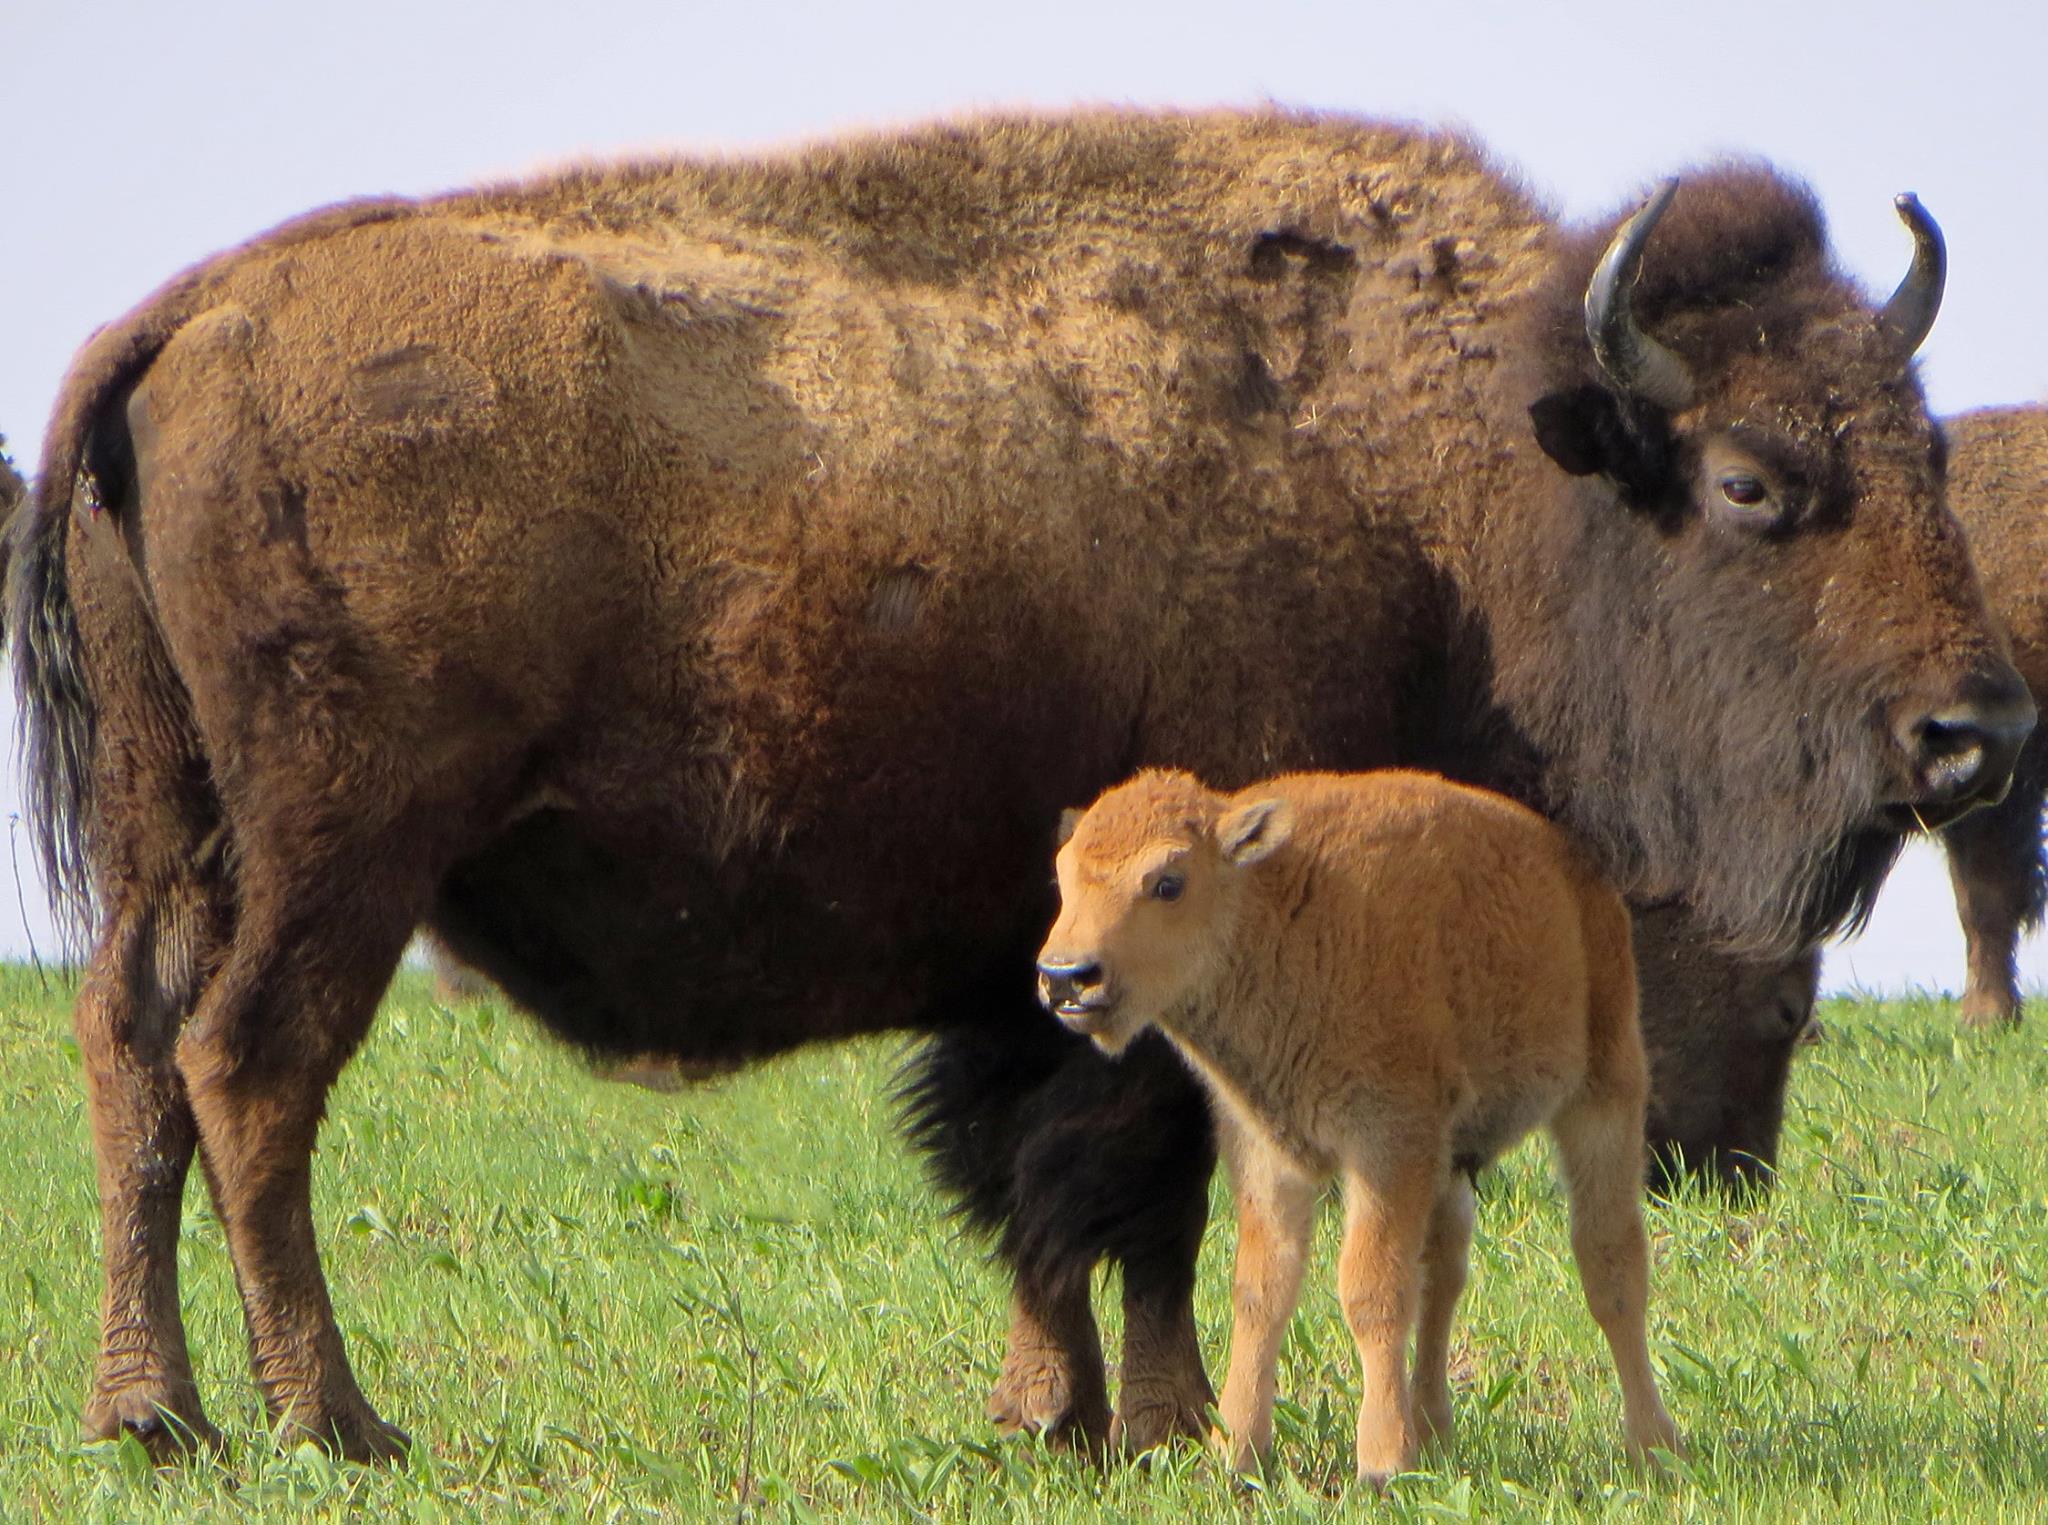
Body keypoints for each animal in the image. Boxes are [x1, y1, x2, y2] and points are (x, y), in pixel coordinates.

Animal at [1038, 768, 1679, 1481]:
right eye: (1063, 877)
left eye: (1168, 882)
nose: (1066, 976)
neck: (1271, 903)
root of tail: (1580, 876)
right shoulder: (1267, 1150)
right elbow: (1262, 1290)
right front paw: (1236, 1457)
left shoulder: (1386, 1145)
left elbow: (1371, 1289)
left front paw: (1381, 1462)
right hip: (1450, 1158)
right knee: (1444, 1272)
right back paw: (1434, 1429)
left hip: (1603, 1094)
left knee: (1611, 1265)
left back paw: (1653, 1446)